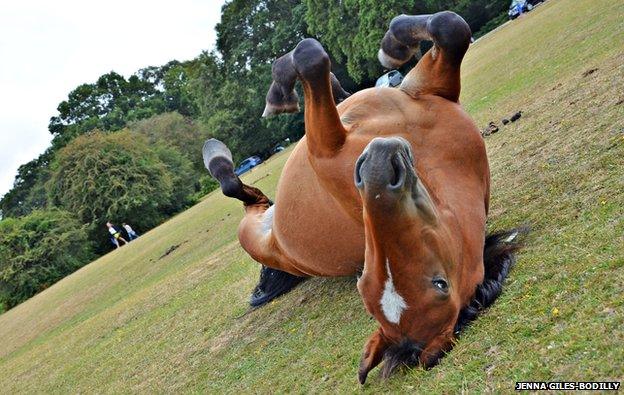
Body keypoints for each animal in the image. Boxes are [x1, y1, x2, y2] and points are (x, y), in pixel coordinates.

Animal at [204, 10, 520, 386]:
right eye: (363, 284)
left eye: (439, 282)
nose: (377, 168)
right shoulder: (422, 89)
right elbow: (449, 26)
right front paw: (393, 47)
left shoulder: (329, 143)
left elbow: (313, 56)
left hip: (253, 232)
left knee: (241, 193)